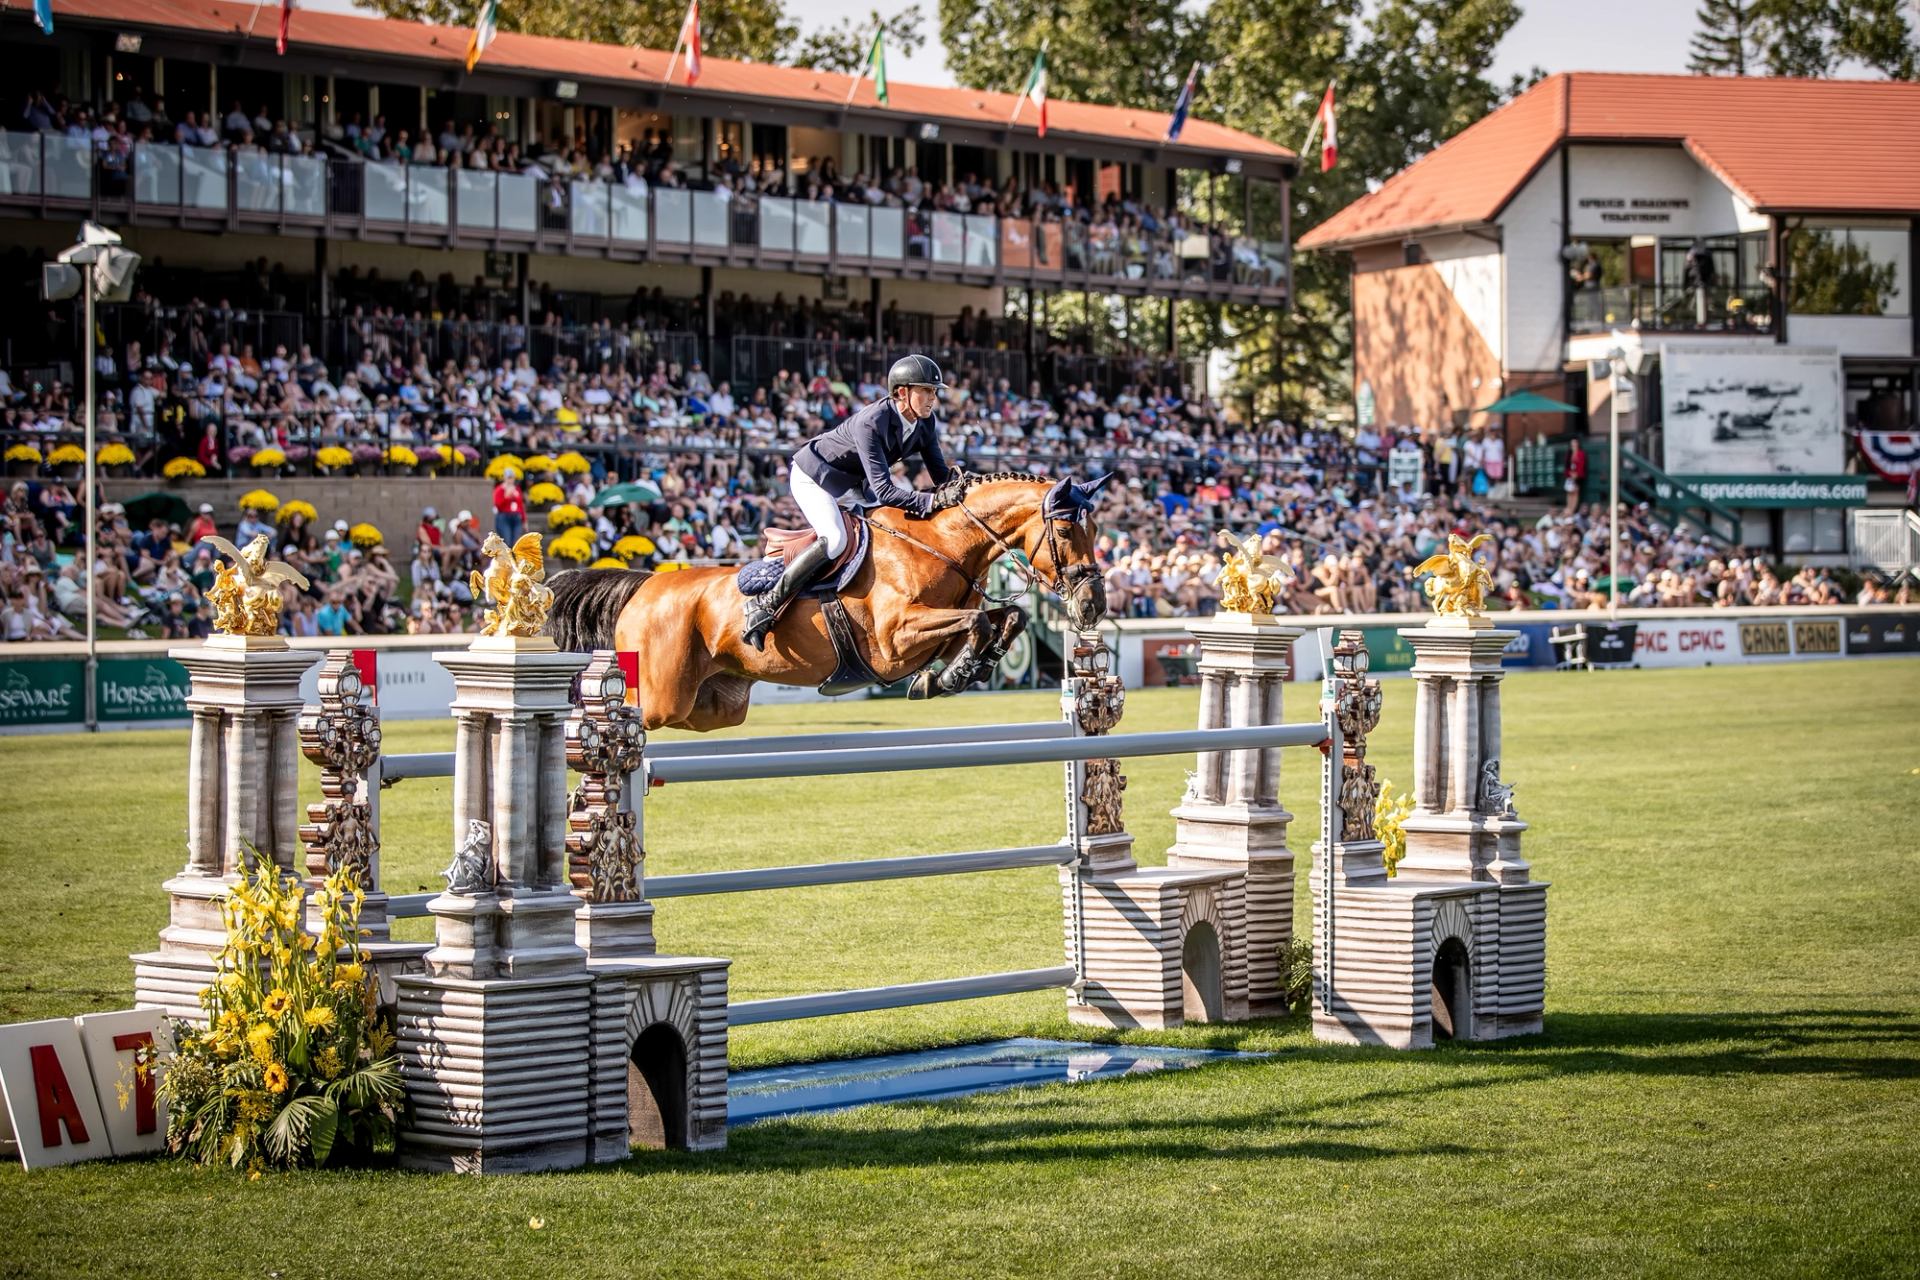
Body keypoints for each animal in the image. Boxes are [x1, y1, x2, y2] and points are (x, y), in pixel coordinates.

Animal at [545, 471, 1108, 732]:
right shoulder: (894, 640)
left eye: (1097, 529)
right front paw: (950, 675)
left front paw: (955, 674)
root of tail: (644, 585)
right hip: (660, 697)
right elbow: (978, 622)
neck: (942, 543)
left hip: (711, 706)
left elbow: (1004, 617)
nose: (1092, 606)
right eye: (1064, 530)